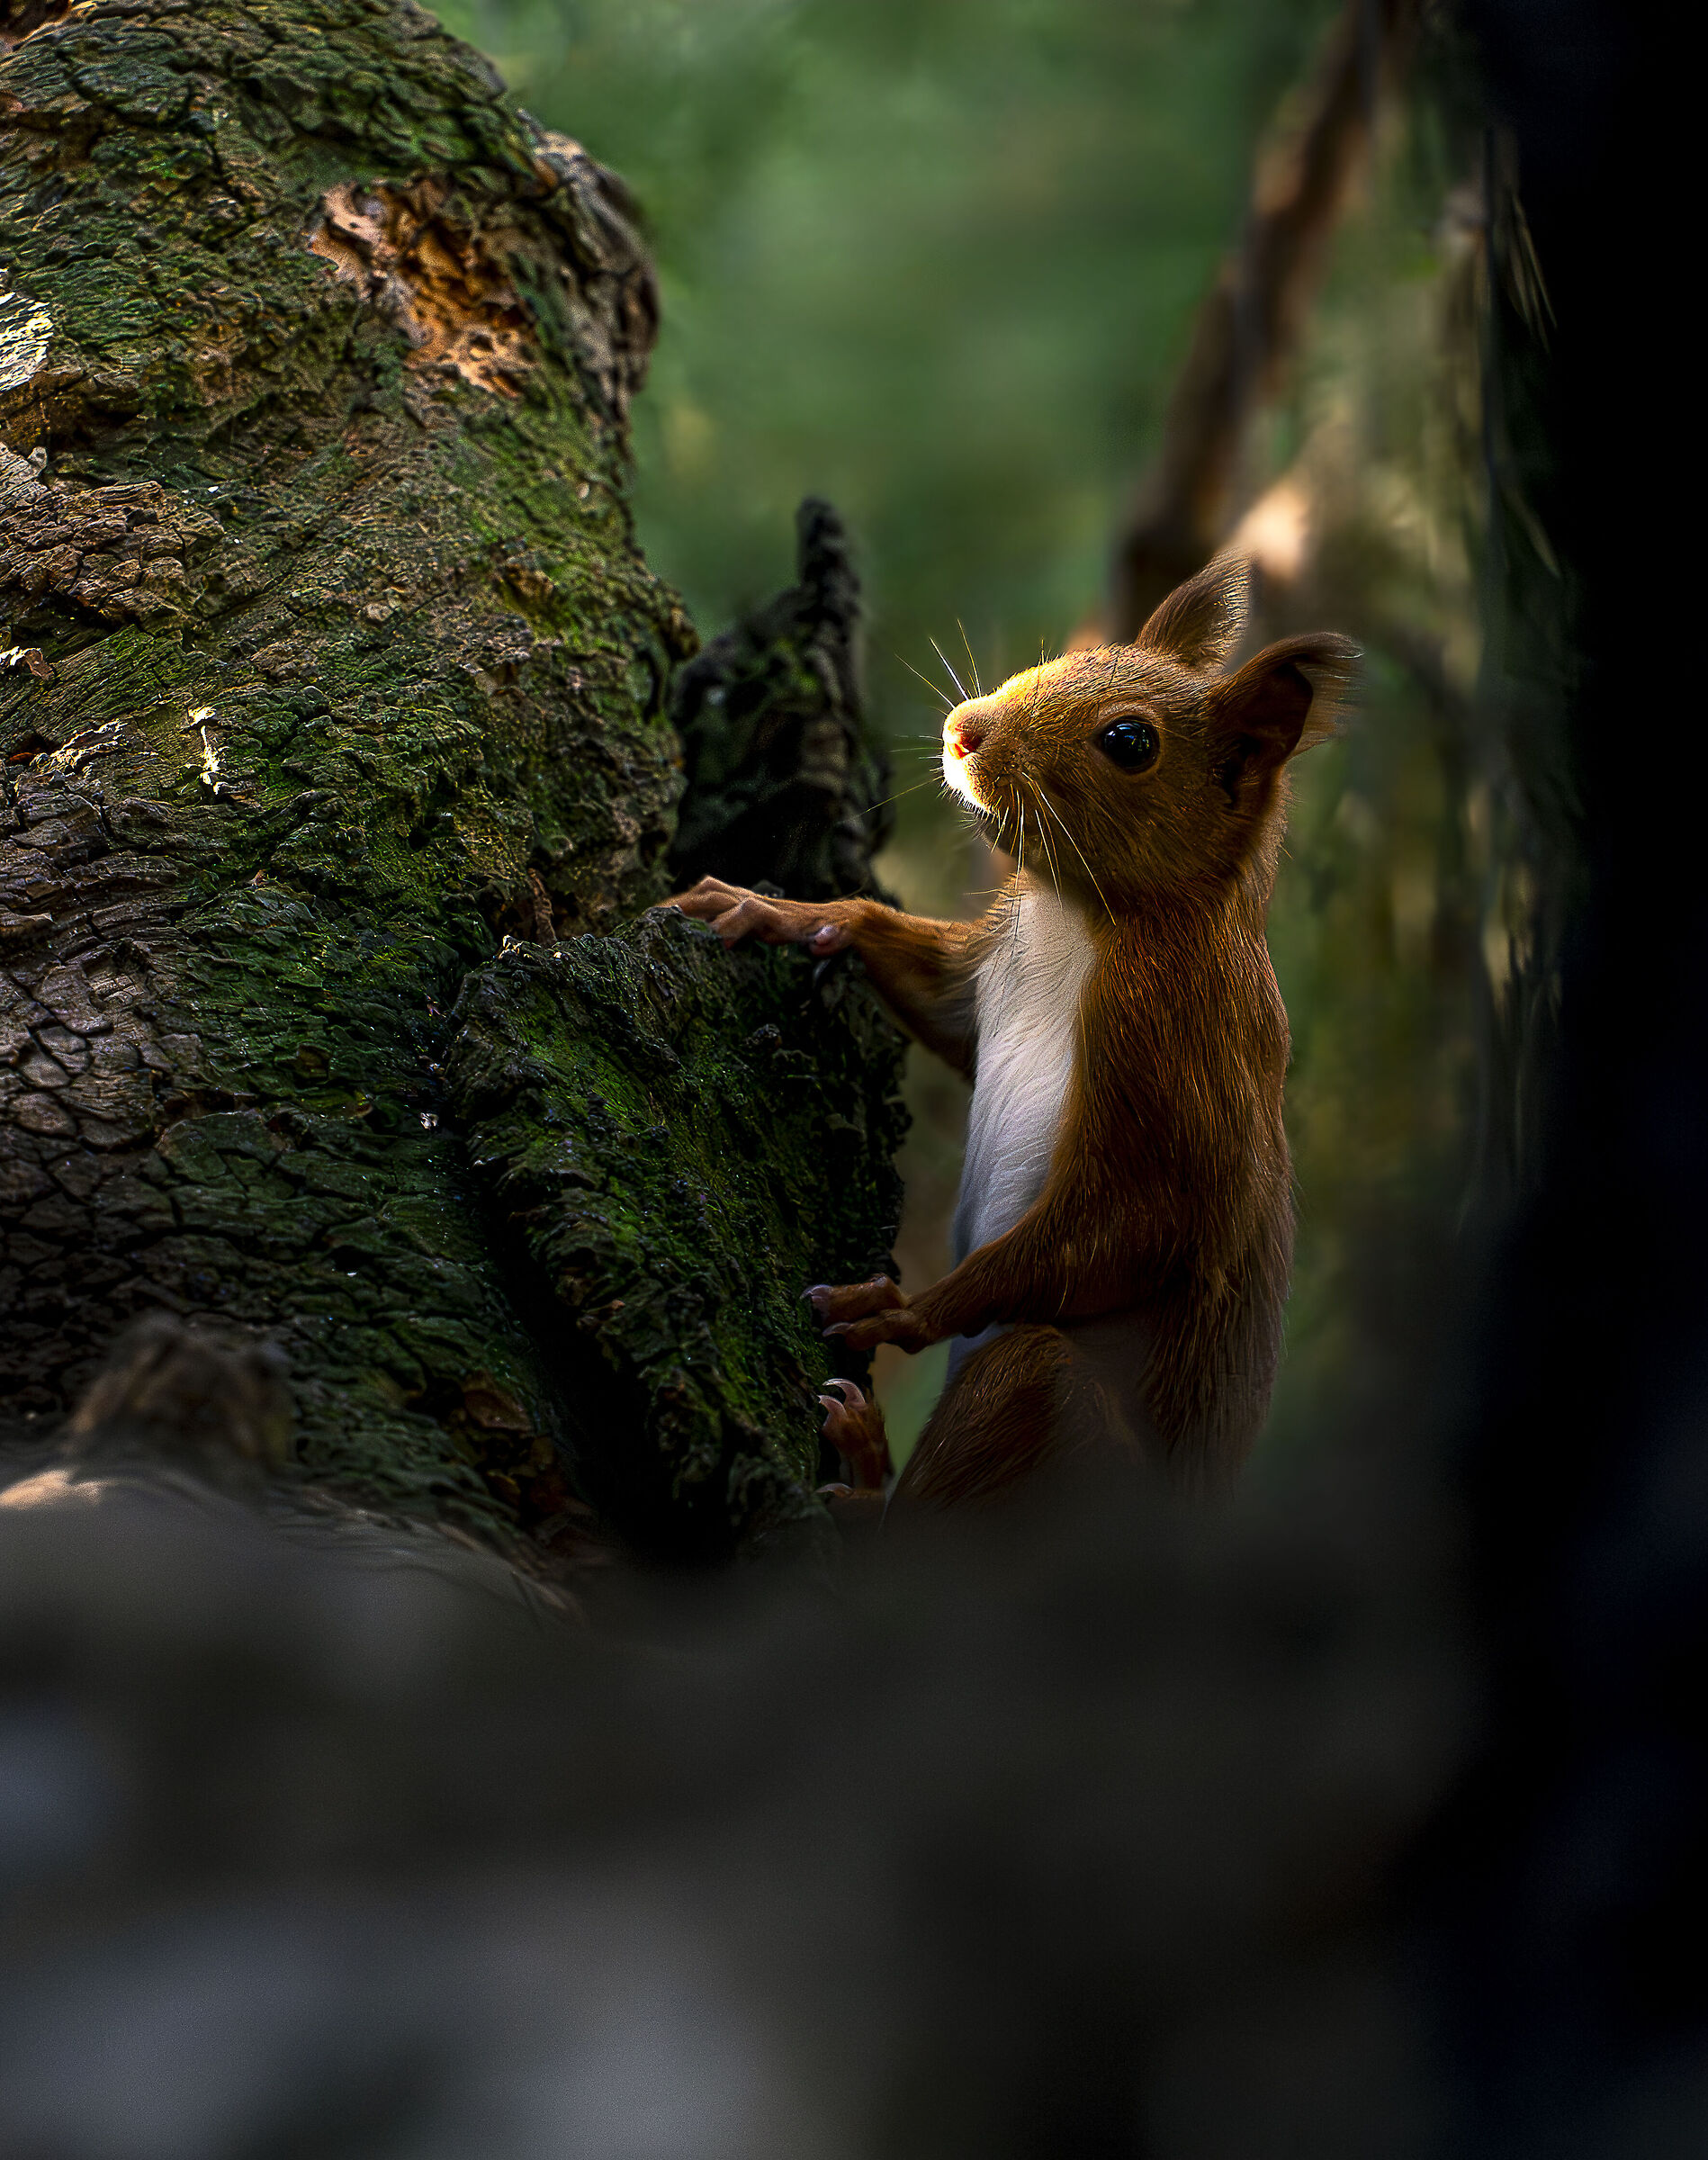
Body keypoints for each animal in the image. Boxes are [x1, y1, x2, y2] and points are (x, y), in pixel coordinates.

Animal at [664, 555, 1357, 1512]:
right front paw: (783, 911)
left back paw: (866, 1484)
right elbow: (922, 981)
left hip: (1056, 1429)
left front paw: (899, 1310)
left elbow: (1126, 1232)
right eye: (1071, 658)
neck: (1082, 918)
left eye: (1130, 742)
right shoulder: (987, 975)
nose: (963, 732)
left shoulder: (1183, 1049)